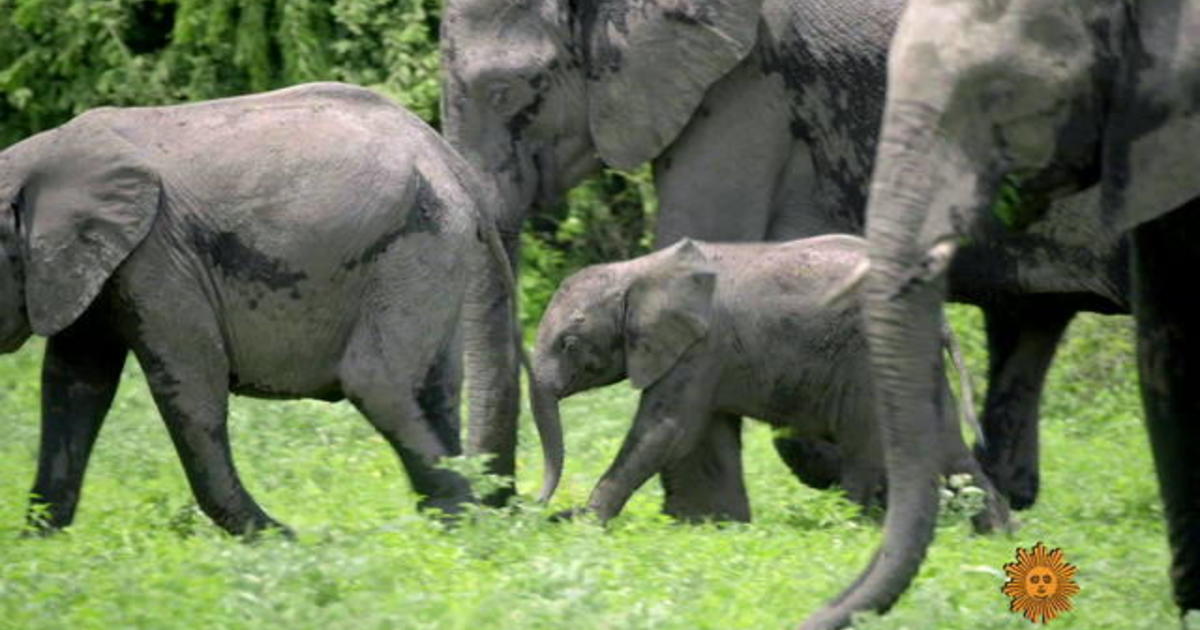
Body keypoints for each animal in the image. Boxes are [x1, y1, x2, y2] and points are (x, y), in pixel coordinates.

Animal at [0, 82, 561, 535]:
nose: (295, 533)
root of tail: (446, 157)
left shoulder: (155, 258)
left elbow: (188, 386)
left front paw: (278, 541)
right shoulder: (85, 268)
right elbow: (74, 386)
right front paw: (38, 545)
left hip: (413, 242)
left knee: (377, 382)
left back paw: (461, 529)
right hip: (434, 246)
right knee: (434, 388)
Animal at [535, 234, 1012, 530]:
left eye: (569, 343)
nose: (540, 508)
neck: (640, 271)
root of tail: (941, 317)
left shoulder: (701, 345)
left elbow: (666, 431)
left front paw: (588, 523)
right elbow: (704, 436)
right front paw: (715, 526)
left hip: (871, 363)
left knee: (869, 445)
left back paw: (854, 526)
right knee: (947, 444)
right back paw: (999, 532)